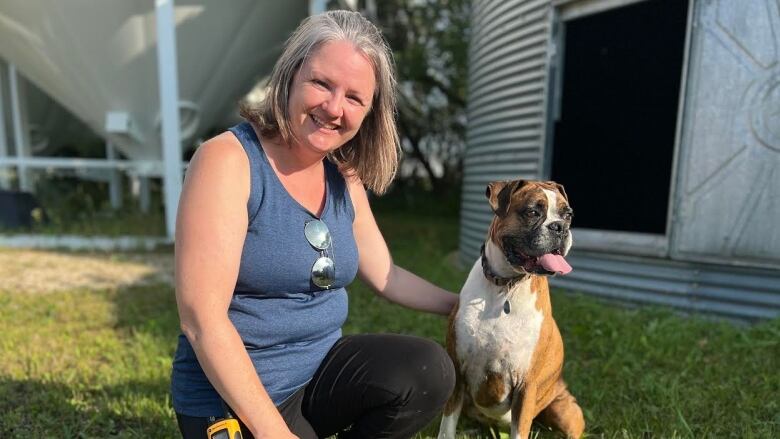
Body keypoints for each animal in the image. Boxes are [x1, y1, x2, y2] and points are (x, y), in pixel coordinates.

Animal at [438, 180, 584, 439]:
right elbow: (446, 428)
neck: (505, 286)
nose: (559, 227)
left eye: (568, 215)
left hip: (564, 411)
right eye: (533, 212)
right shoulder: (457, 372)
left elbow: (520, 430)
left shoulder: (526, 385)